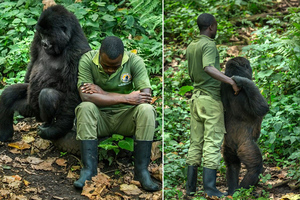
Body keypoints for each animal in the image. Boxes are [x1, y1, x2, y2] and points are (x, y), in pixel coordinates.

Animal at [0, 5, 91, 141]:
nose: (44, 43)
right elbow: (33, 61)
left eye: (49, 34)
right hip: (28, 106)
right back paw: (5, 133)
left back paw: (48, 124)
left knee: (47, 95)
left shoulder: (78, 50)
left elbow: (72, 91)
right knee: (8, 94)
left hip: (40, 115)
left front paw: (56, 130)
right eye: (42, 34)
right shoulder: (37, 37)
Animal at [220, 56, 270, 195]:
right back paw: (242, 190)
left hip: (228, 147)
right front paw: (243, 81)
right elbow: (261, 108)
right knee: (255, 168)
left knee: (232, 164)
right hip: (247, 147)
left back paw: (232, 191)